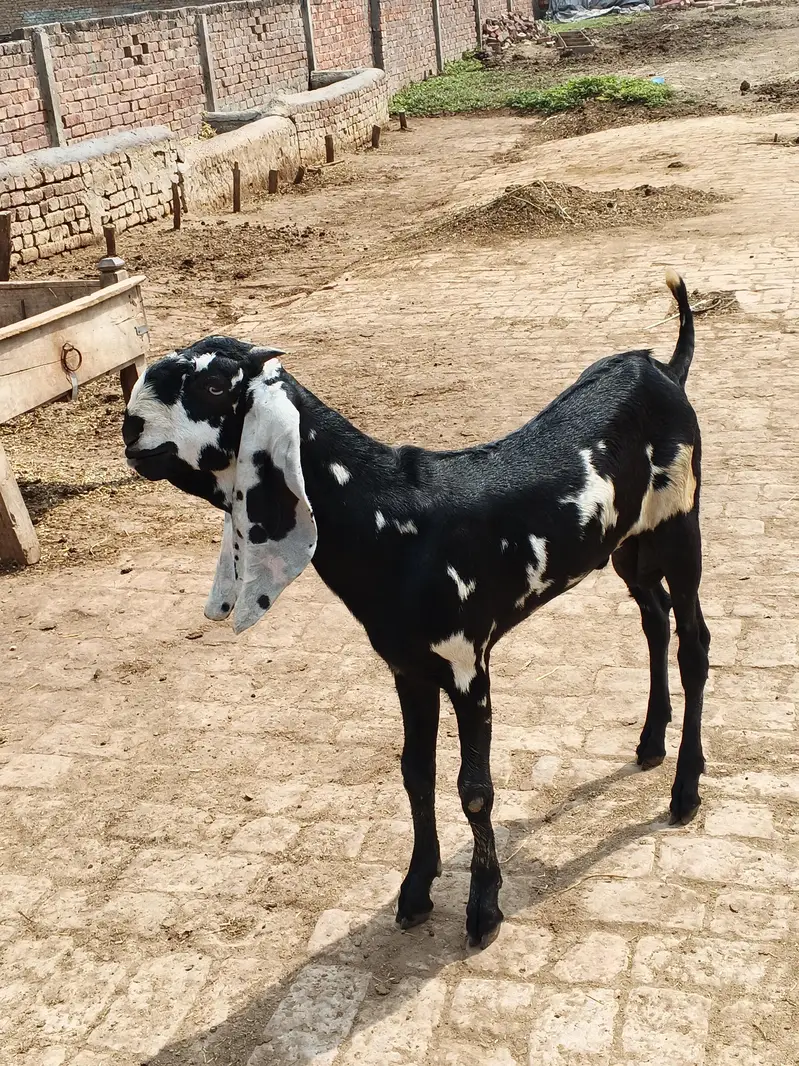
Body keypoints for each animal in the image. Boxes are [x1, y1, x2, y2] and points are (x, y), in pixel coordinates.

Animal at [122, 271, 709, 948]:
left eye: (216, 385)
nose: (130, 427)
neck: (391, 517)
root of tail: (664, 369)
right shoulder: (408, 667)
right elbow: (415, 773)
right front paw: (416, 889)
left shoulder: (468, 663)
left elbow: (474, 790)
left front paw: (484, 908)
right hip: (628, 544)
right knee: (654, 617)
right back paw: (650, 741)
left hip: (681, 525)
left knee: (694, 642)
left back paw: (685, 789)